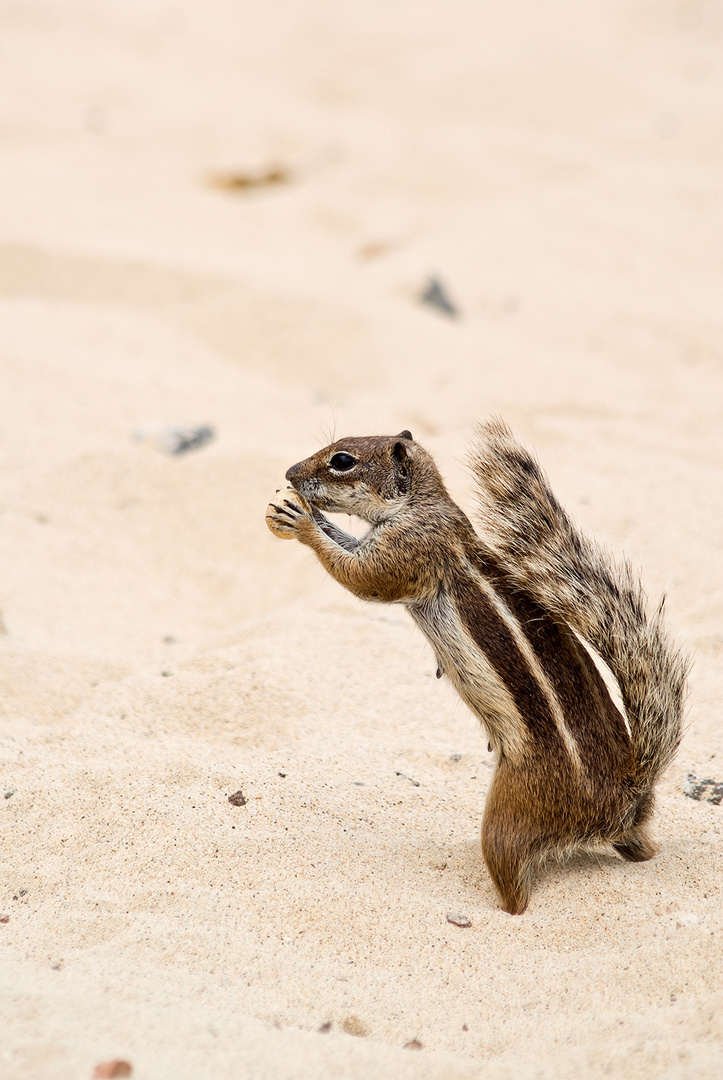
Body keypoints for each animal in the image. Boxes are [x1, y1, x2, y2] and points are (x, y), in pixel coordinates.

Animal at [266, 421, 687, 911]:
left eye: (342, 461)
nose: (290, 473)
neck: (423, 504)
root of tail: (626, 793)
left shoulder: (409, 551)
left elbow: (362, 577)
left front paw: (303, 524)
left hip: (511, 814)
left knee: (513, 883)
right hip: (620, 828)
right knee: (641, 848)